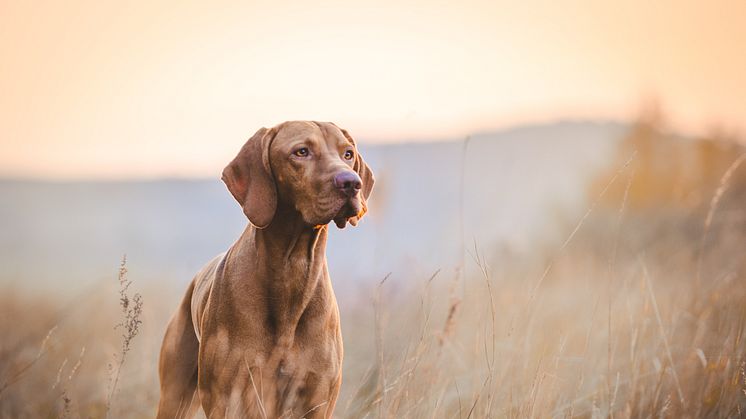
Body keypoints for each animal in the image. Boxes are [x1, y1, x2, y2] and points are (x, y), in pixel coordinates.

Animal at [157, 120, 374, 418]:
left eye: (348, 154)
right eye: (301, 151)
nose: (352, 183)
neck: (291, 269)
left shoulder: (317, 399)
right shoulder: (227, 397)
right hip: (174, 396)